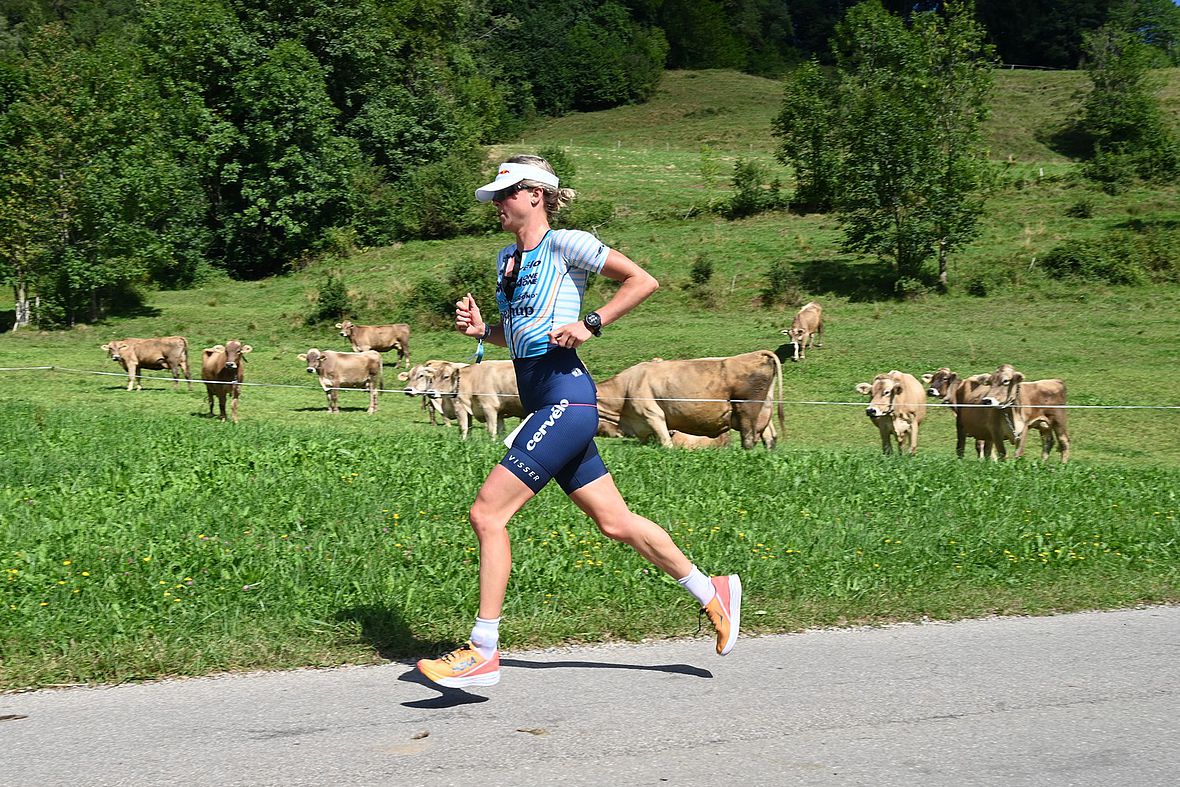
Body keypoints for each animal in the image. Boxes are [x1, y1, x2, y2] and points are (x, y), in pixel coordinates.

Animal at [599, 351, 783, 448]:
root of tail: (758, 354)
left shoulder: (653, 415)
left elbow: (667, 444)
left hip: (747, 409)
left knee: (750, 439)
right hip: (763, 409)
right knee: (769, 436)